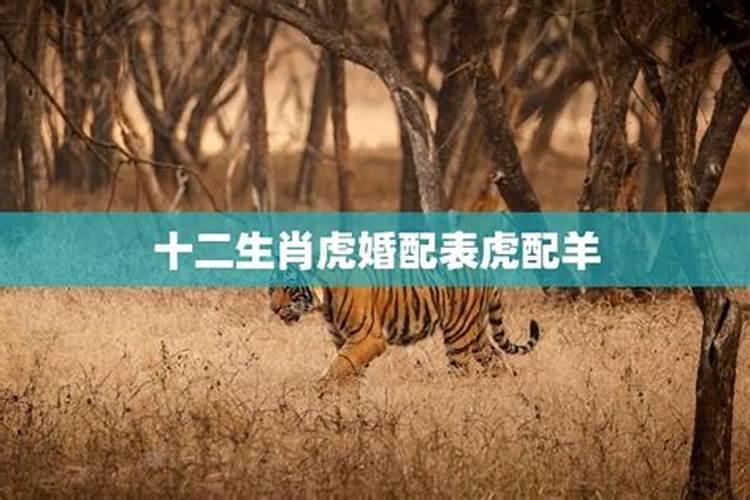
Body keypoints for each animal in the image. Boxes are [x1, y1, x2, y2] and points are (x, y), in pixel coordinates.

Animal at [268, 269, 540, 389]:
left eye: (288, 288)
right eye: (272, 288)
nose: (273, 309)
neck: (324, 303)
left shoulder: (368, 339)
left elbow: (339, 367)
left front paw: (320, 389)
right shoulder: (344, 340)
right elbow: (348, 370)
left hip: (459, 334)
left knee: (461, 372)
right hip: (476, 335)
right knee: (498, 361)